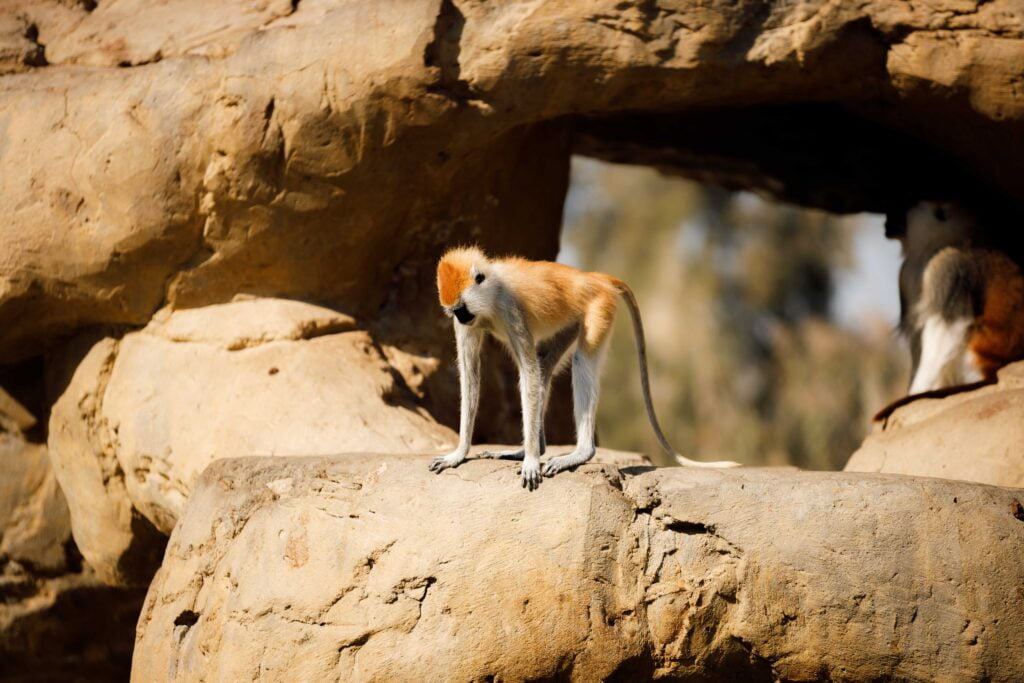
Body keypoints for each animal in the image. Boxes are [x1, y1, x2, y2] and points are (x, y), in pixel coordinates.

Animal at [427, 246, 739, 489]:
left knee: (580, 363)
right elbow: (471, 375)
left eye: (462, 309)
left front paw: (531, 460)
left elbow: (527, 372)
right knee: (546, 367)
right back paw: (536, 448)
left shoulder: (509, 307)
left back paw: (579, 453)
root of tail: (591, 277)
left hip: (599, 309)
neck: (491, 290)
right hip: (572, 320)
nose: (461, 318)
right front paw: (460, 453)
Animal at [873, 200, 1024, 422]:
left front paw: (917, 392)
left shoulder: (949, 265)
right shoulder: (908, 274)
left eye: (905, 207)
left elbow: (946, 330)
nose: (889, 217)